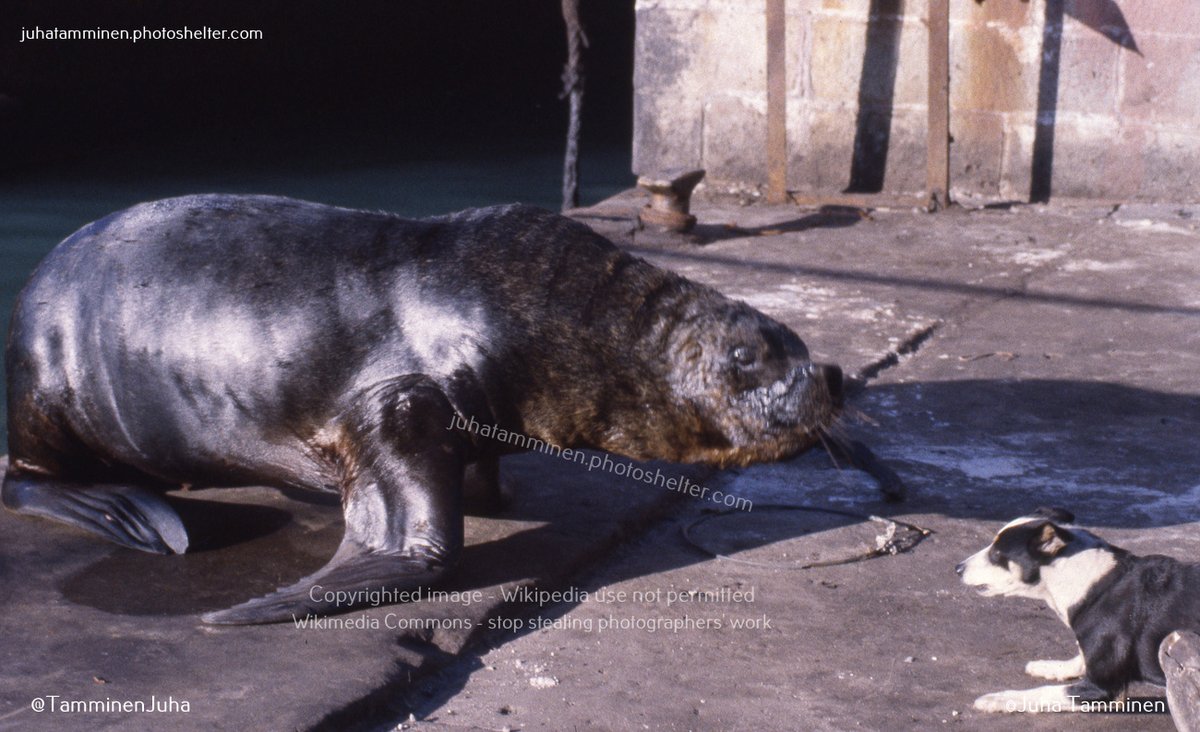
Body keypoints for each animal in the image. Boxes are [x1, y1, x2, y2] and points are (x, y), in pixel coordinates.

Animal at [955, 506, 1200, 705]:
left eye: (996, 554)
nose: (958, 568)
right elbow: (1080, 658)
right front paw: (1050, 667)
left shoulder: (1101, 688)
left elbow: (1042, 692)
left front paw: (999, 699)